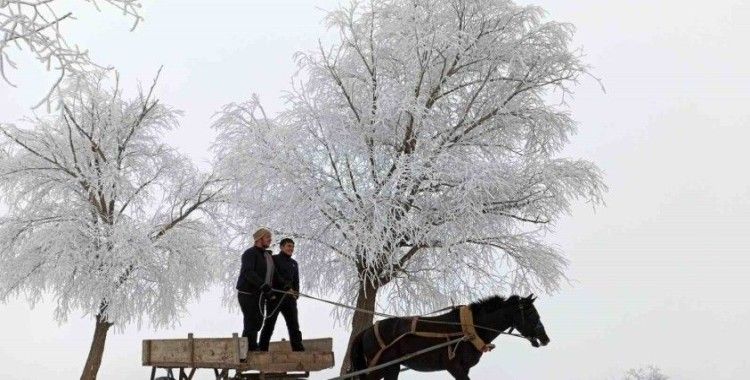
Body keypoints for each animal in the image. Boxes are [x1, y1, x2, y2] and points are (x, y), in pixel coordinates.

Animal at [348, 294, 552, 380]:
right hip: (381, 367)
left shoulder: (465, 368)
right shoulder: (454, 367)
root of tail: (366, 331)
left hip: (390, 368)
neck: (469, 329)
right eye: (531, 313)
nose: (545, 338)